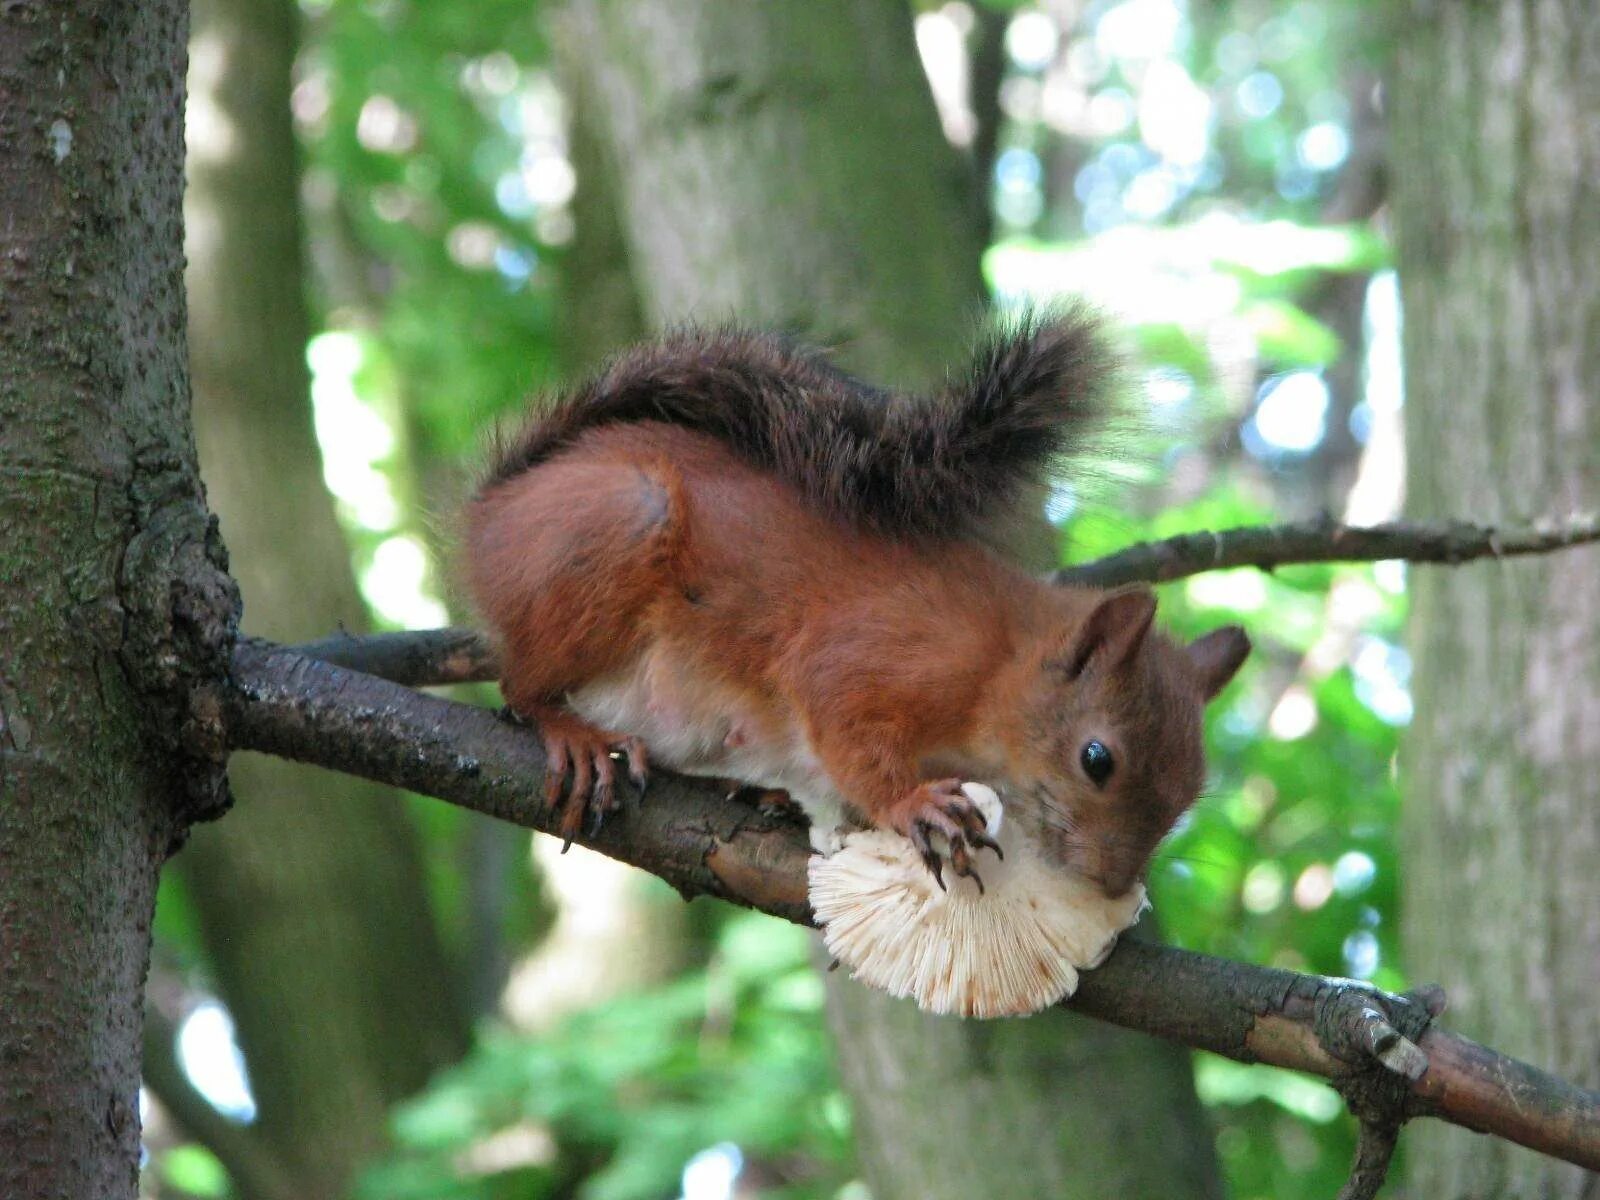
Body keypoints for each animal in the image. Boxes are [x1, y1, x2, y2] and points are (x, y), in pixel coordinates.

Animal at [464, 315, 1248, 896]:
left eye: (1190, 791)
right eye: (1097, 758)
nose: (1113, 885)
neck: (998, 662)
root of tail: (496, 511)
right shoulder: (877, 655)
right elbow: (844, 724)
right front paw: (912, 804)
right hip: (619, 533)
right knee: (524, 684)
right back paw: (572, 731)